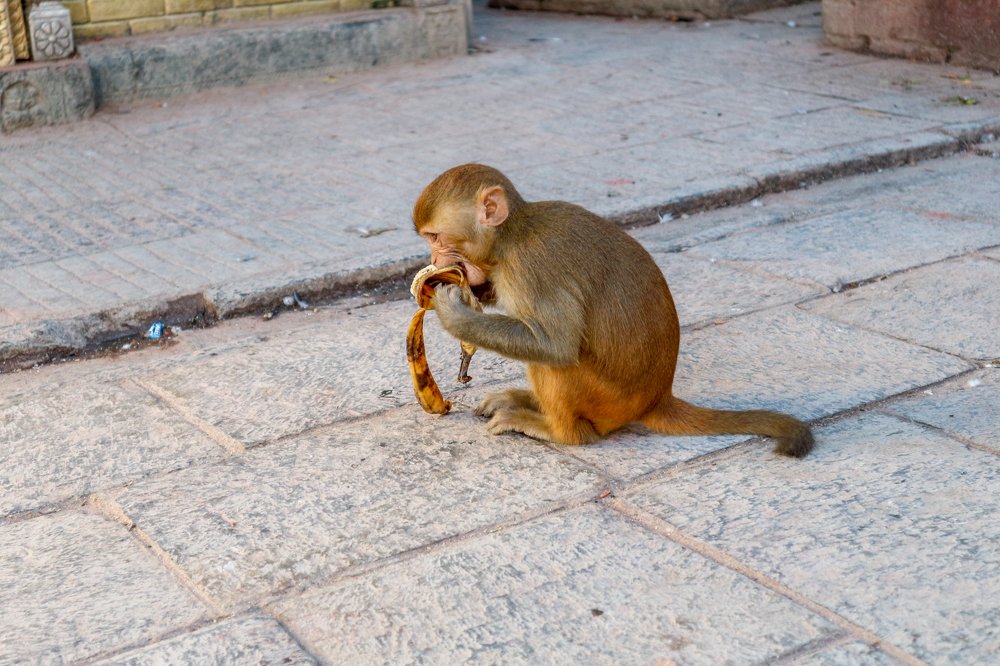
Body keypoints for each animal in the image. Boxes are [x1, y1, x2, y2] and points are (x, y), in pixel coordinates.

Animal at [412, 163, 813, 457]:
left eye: (435, 238)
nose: (434, 261)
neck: (510, 237)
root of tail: (656, 397)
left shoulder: (533, 267)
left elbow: (554, 345)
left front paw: (454, 314)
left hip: (606, 398)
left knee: (555, 362)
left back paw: (560, 432)